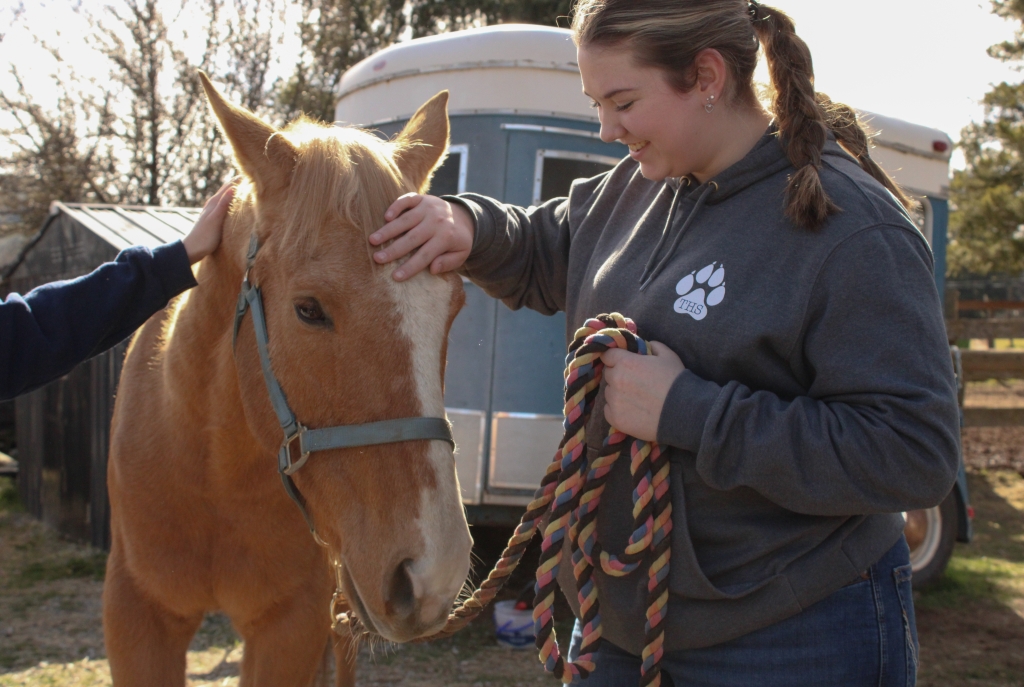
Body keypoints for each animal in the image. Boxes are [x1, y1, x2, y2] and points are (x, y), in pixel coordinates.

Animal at [103, 76, 471, 687]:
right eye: (308, 310)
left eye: (452, 307)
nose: (431, 575)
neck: (213, 471)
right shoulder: (139, 616)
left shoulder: (291, 624)